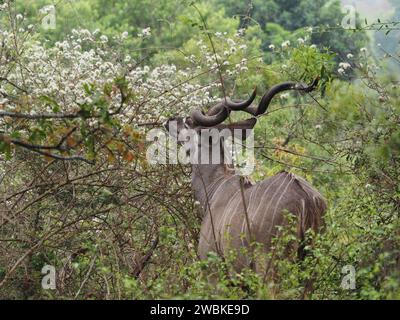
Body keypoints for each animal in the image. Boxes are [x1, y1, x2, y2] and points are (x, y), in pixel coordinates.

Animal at [164, 79, 326, 272]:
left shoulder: (214, 267)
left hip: (271, 264)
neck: (215, 187)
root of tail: (306, 199)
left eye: (188, 121)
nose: (169, 120)